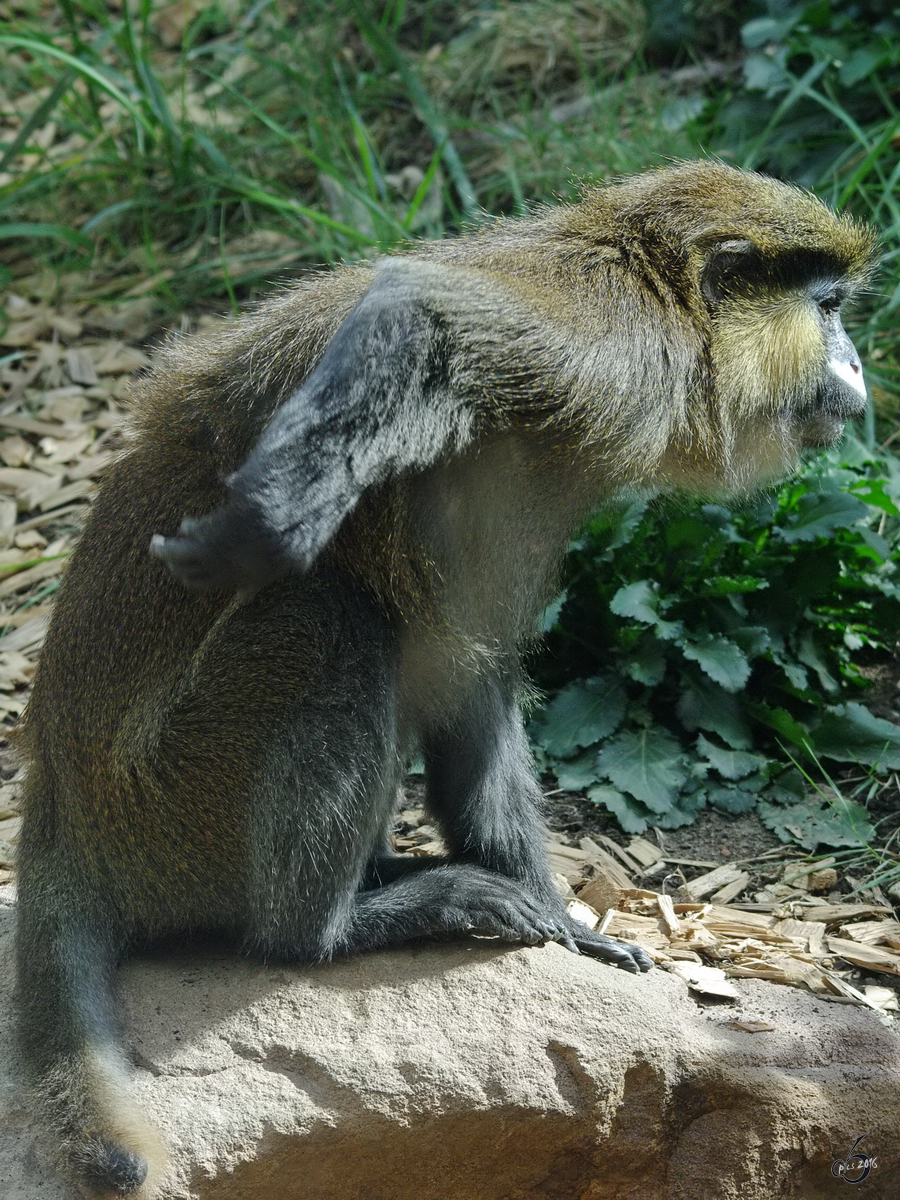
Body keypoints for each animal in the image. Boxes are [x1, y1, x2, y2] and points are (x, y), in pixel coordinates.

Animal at [12, 162, 873, 1200]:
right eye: (827, 307)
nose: (859, 369)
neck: (659, 288)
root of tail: (63, 816)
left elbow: (475, 676)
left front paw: (564, 918)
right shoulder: (612, 350)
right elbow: (418, 313)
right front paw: (270, 511)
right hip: (175, 801)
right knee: (324, 617)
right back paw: (329, 929)